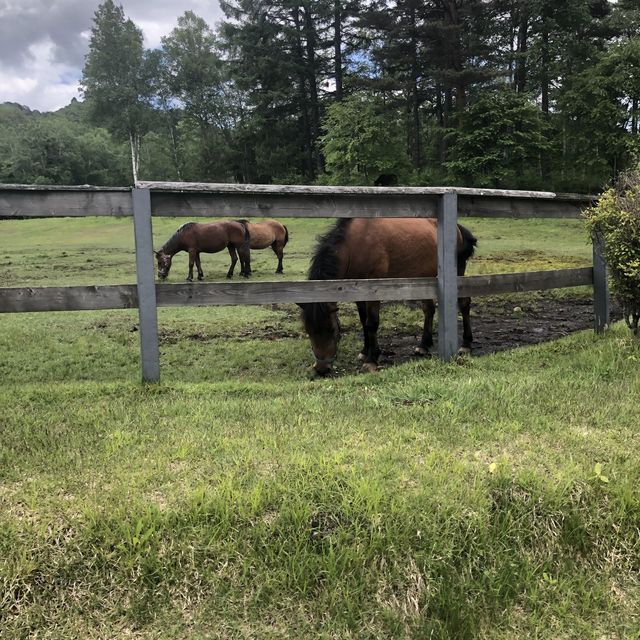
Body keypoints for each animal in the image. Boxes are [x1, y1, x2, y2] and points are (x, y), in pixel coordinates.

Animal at [298, 218, 476, 376]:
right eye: (308, 330)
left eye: (332, 329)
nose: (321, 368)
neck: (355, 245)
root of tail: (458, 229)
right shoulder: (357, 291)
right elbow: (363, 321)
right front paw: (365, 351)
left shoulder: (374, 290)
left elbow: (371, 323)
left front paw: (371, 359)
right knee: (429, 309)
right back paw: (423, 345)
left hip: (458, 273)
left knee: (464, 304)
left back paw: (466, 344)